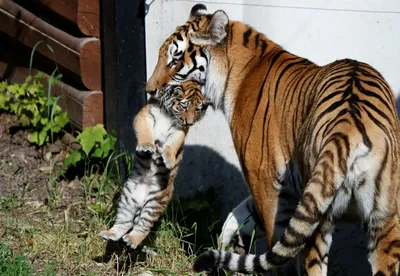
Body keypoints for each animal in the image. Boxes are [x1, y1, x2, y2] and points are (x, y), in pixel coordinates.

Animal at [145, 4, 400, 276]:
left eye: (174, 61)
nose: (149, 90)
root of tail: (347, 127)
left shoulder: (263, 180)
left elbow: (274, 241)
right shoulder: (289, 190)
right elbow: (238, 215)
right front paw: (229, 244)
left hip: (320, 213)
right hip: (384, 217)